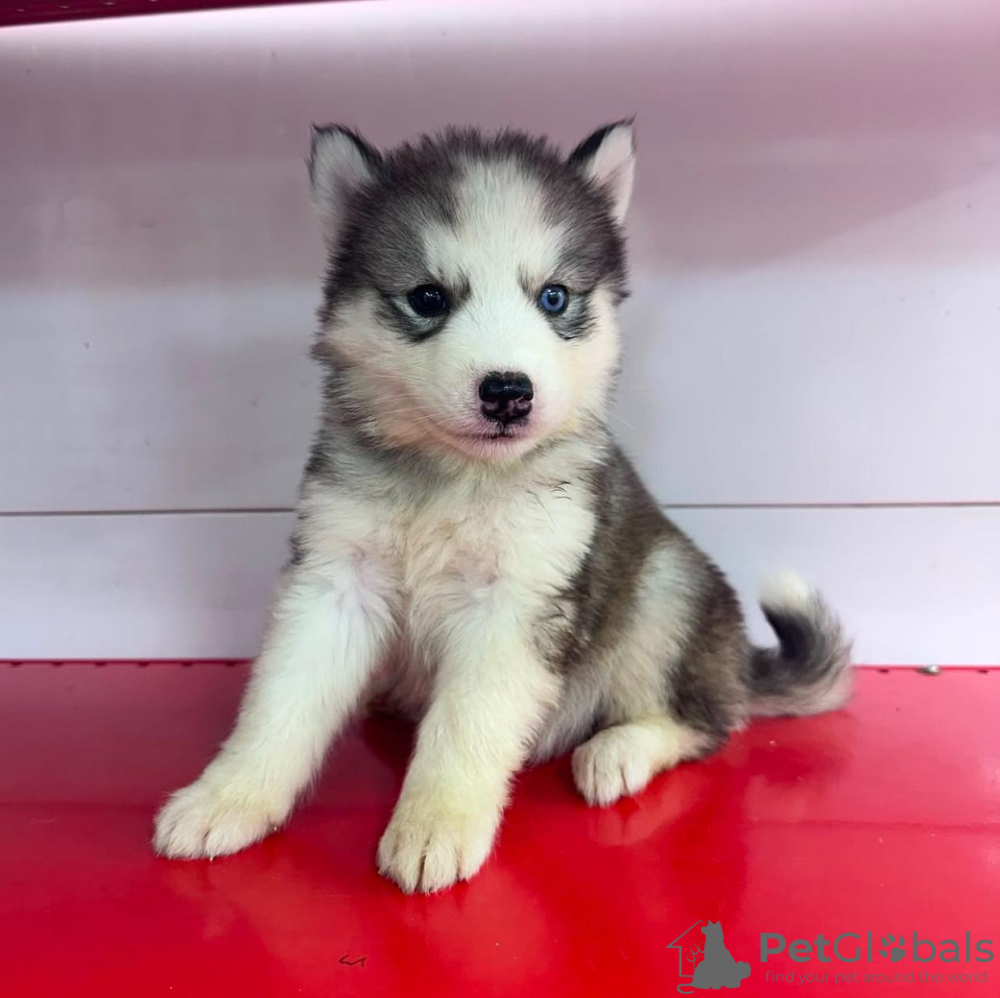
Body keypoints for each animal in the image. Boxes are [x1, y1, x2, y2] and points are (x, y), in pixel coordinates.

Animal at [153, 121, 852, 893]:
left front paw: (437, 823)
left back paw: (621, 750)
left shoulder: (515, 600)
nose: (508, 391)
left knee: (706, 722)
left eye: (554, 297)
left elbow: (466, 722)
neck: (452, 480)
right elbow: (280, 699)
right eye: (428, 298)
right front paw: (228, 796)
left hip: (668, 588)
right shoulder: (335, 578)